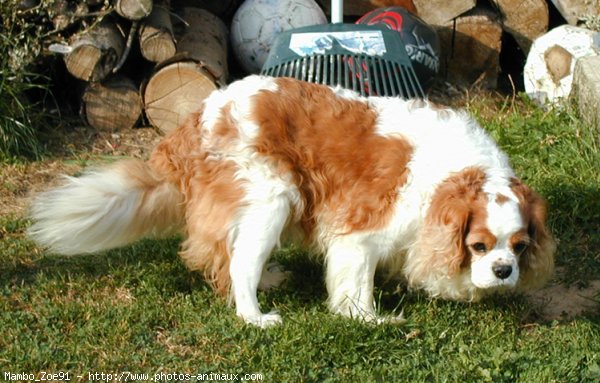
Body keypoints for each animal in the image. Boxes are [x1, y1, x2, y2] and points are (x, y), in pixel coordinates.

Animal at [27, 76, 552, 328]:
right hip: (271, 198)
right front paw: (370, 320)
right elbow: (355, 286)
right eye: (478, 245)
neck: (453, 174)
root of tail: (194, 120)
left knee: (228, 255)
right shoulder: (360, 232)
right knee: (240, 264)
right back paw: (256, 317)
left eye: (519, 247)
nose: (503, 271)